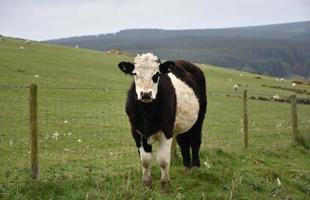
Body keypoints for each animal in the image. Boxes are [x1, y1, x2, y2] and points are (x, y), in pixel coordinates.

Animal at [117, 52, 207, 188]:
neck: (147, 113)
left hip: (199, 118)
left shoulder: (167, 131)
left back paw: (196, 168)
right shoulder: (136, 132)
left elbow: (163, 160)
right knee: (184, 142)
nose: (146, 94)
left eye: (157, 75)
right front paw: (146, 183)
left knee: (195, 141)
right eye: (134, 73)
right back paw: (187, 168)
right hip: (182, 125)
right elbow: (145, 160)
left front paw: (165, 184)